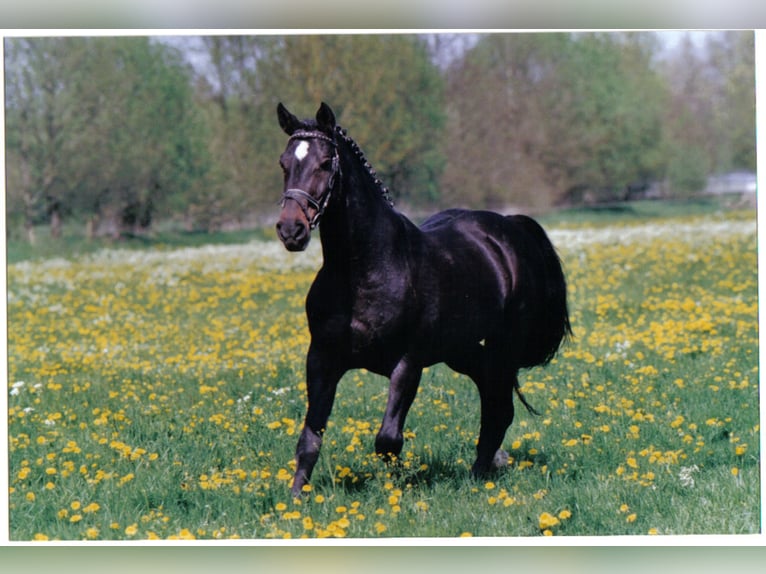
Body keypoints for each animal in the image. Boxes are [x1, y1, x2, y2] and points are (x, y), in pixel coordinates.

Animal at [274, 101, 568, 498]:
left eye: (324, 163)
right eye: (284, 163)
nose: (292, 230)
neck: (365, 269)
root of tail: (508, 229)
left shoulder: (408, 363)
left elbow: (387, 439)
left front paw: (399, 485)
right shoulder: (322, 359)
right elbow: (309, 437)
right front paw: (294, 499)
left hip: (502, 346)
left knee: (499, 407)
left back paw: (480, 473)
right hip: (462, 350)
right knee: (492, 397)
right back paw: (487, 464)